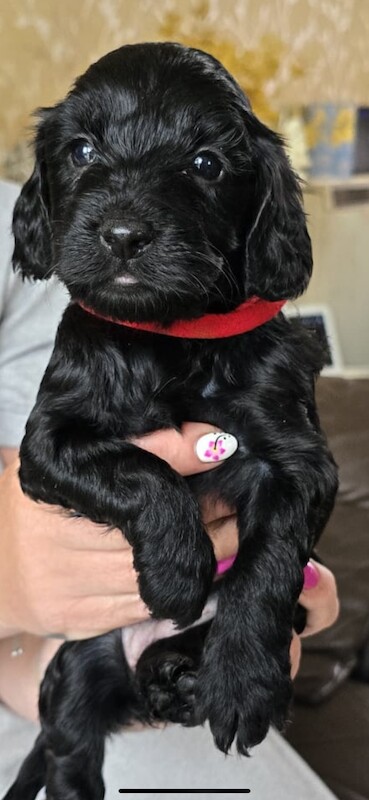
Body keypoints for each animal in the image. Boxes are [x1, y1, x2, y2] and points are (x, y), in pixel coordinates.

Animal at [4, 42, 336, 800]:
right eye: (82, 150)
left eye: (206, 163)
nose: (124, 235)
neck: (168, 335)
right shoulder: (47, 444)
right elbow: (138, 470)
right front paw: (178, 572)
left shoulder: (296, 459)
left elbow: (265, 565)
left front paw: (241, 684)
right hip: (75, 671)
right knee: (70, 755)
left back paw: (179, 673)